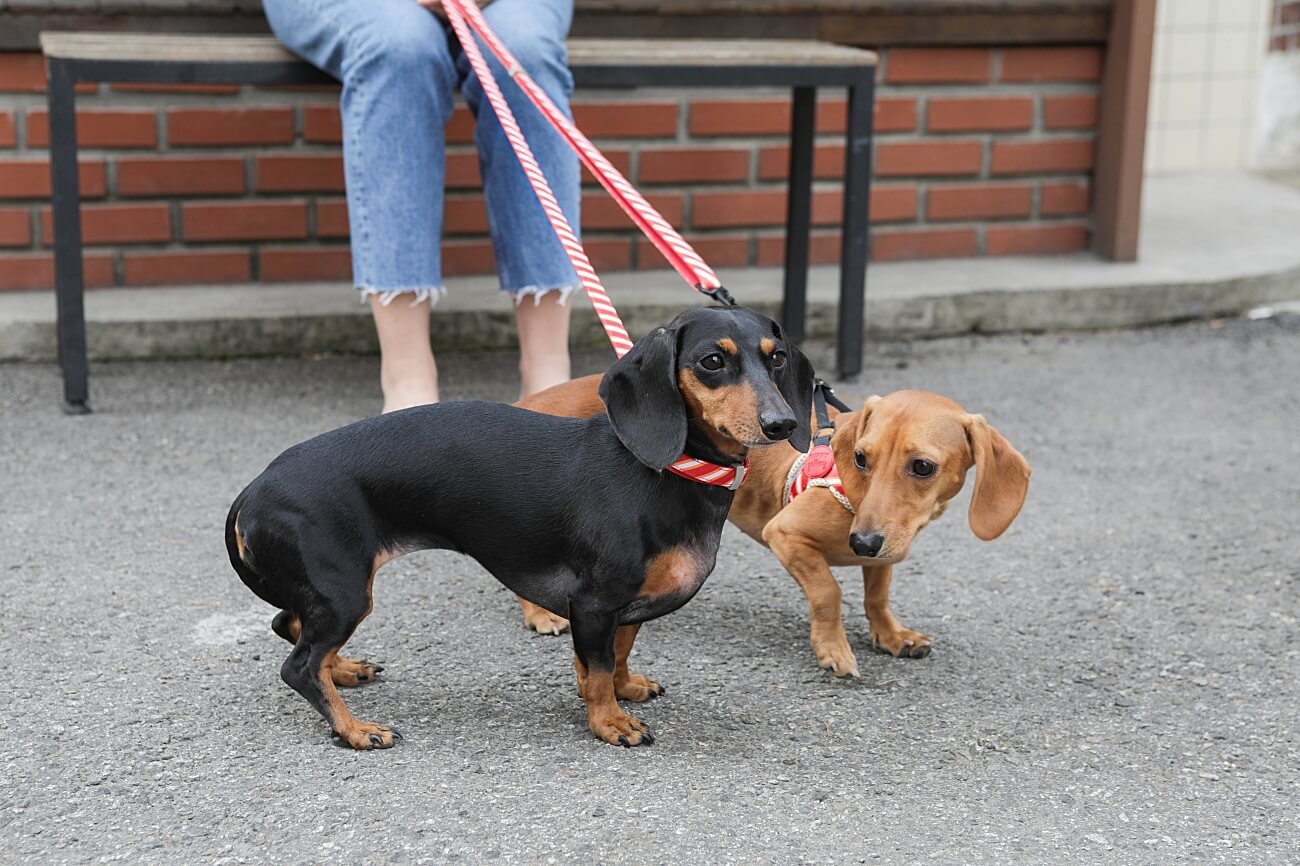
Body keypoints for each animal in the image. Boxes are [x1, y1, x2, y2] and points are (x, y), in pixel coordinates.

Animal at [224, 305, 814, 748]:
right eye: (713, 360)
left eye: (778, 357)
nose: (782, 423)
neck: (667, 471)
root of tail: (255, 488)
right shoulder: (595, 601)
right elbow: (598, 667)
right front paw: (609, 723)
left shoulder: (625, 606)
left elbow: (619, 654)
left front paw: (626, 690)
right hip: (345, 591)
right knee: (299, 667)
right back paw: (353, 729)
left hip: (329, 594)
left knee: (290, 627)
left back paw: (344, 670)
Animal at [516, 383, 1030, 677]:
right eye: (861, 458)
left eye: (922, 467)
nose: (861, 541)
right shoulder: (786, 535)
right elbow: (827, 592)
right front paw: (832, 647)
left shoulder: (882, 553)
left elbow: (876, 596)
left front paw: (890, 634)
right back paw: (540, 613)